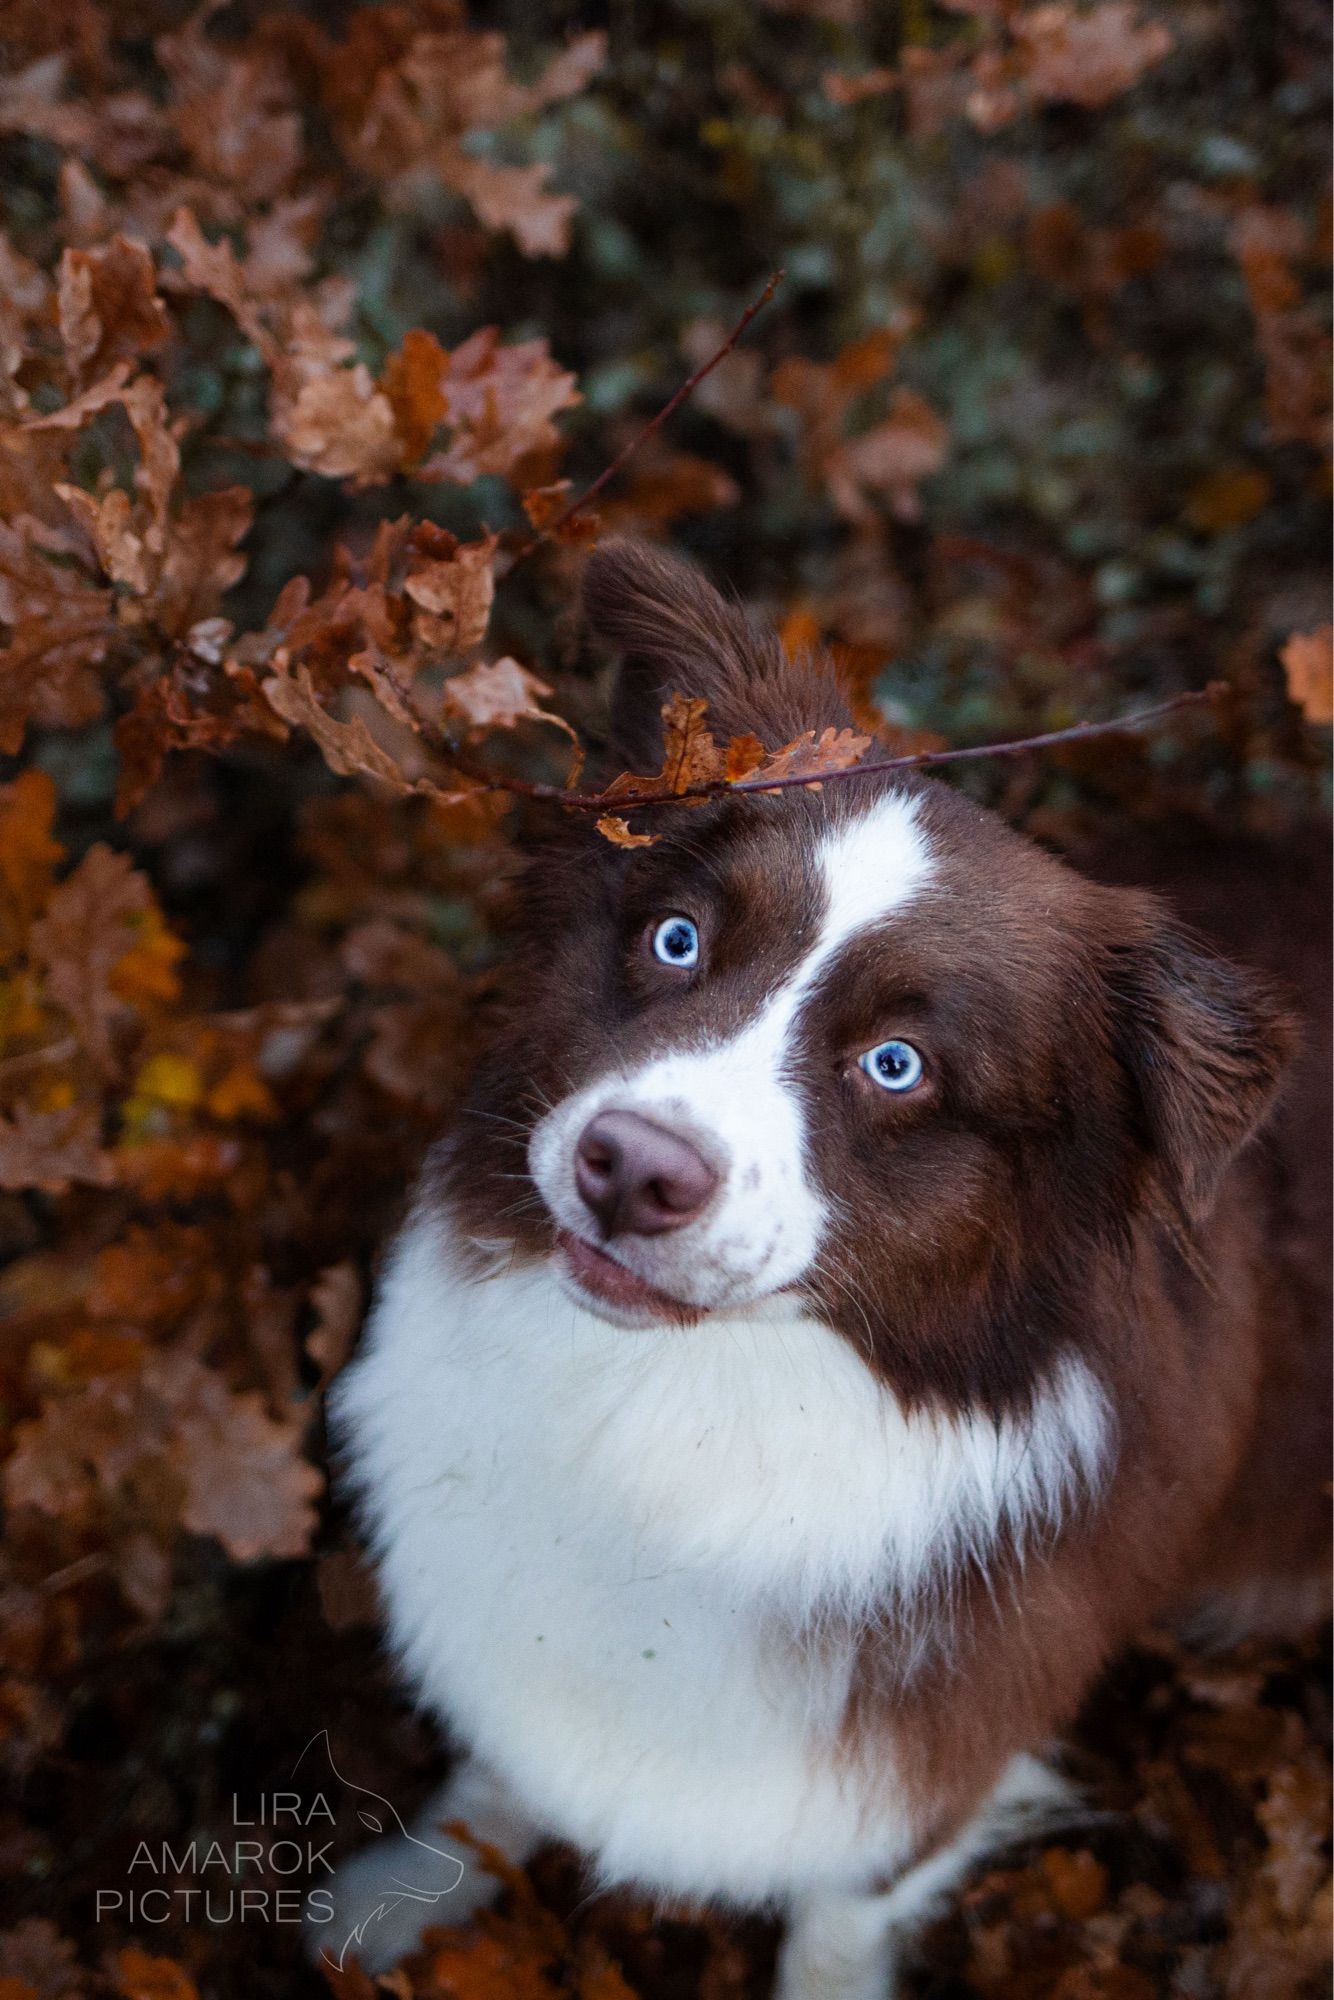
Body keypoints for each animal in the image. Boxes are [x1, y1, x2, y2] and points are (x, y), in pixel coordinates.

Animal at [318, 544, 1328, 2000]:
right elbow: (500, 1772)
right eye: (675, 939)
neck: (680, 1410)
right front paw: (401, 1896)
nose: (632, 1169)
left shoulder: (939, 1752)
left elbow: (842, 1909)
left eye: (895, 1065)